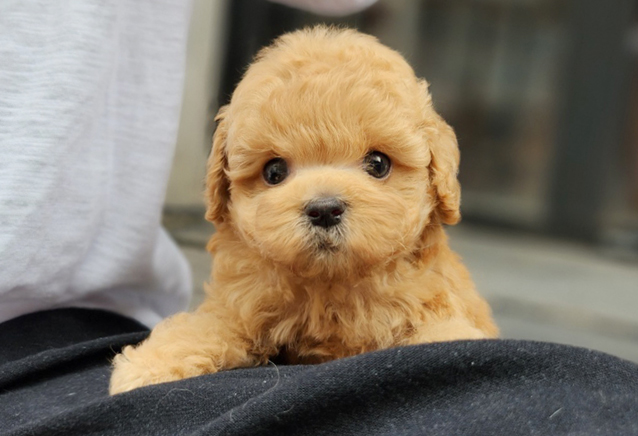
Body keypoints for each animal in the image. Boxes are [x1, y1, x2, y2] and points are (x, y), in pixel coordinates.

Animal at [109, 26, 498, 395]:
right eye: (274, 172)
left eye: (378, 164)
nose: (324, 209)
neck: (329, 282)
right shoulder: (239, 303)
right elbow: (206, 325)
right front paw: (151, 365)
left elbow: (442, 332)